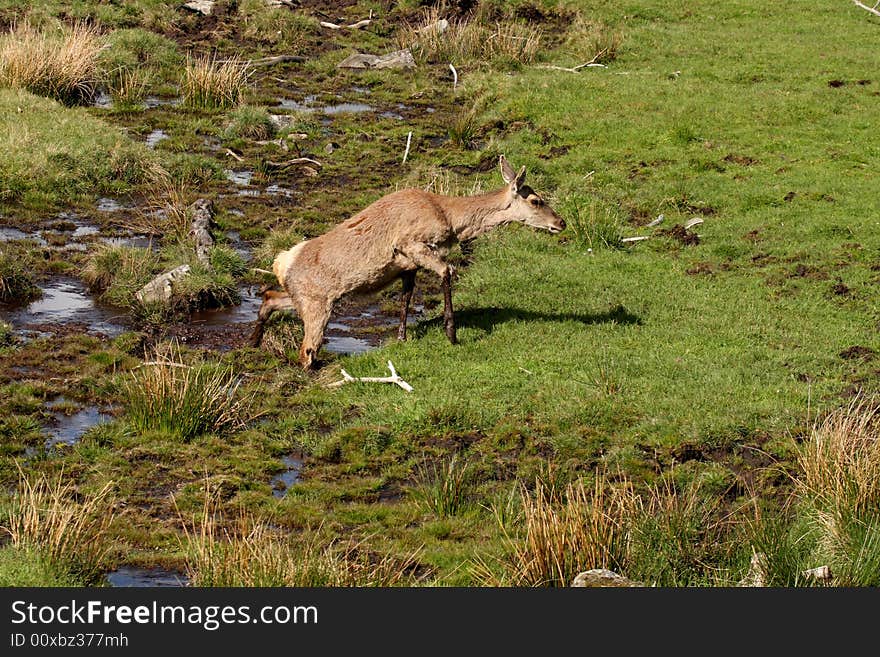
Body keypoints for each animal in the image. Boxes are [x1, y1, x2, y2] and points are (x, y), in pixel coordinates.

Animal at [251, 155, 564, 368]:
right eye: (536, 200)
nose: (561, 222)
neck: (451, 220)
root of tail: (281, 263)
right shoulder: (412, 243)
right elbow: (447, 272)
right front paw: (452, 334)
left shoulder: (407, 266)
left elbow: (406, 297)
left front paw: (401, 337)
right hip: (317, 305)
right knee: (305, 351)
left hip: (303, 297)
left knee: (269, 298)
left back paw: (253, 341)